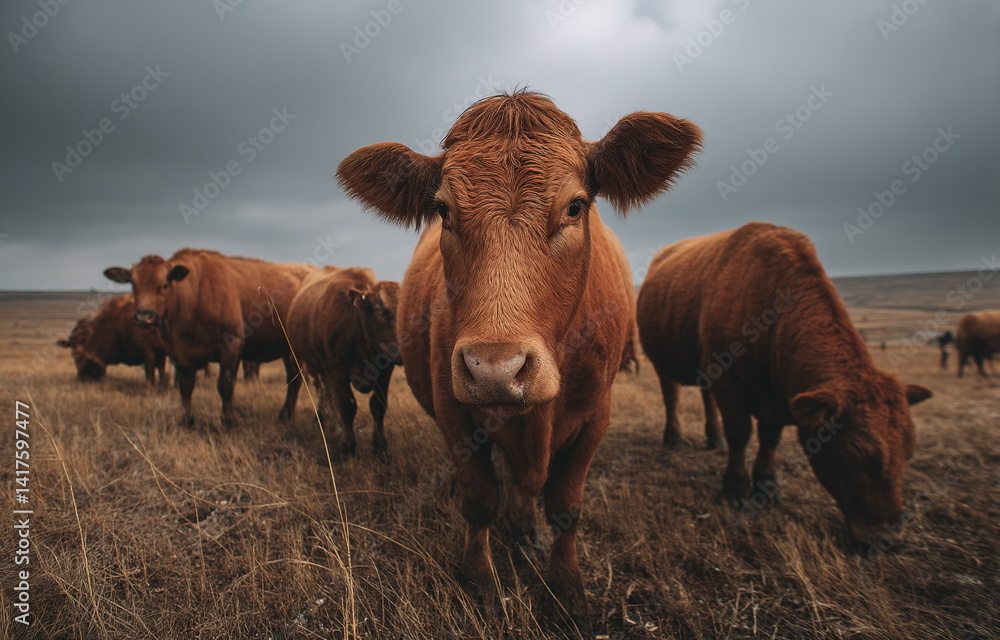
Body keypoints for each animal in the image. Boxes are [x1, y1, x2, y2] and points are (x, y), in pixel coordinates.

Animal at [103, 250, 314, 427]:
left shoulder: (231, 346)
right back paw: (286, 414)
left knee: (295, 379)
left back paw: (285, 415)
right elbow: (185, 387)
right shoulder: (179, 354)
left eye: (164, 284)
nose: (143, 317)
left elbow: (225, 385)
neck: (193, 298)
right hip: (289, 351)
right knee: (294, 379)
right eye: (133, 284)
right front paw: (187, 420)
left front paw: (227, 421)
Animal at [285, 266, 401, 458]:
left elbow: (378, 407)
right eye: (383, 311)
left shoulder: (386, 370)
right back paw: (327, 422)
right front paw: (347, 445)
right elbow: (347, 406)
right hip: (314, 366)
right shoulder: (337, 370)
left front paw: (381, 447)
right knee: (325, 394)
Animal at [336, 90, 702, 627]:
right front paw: (481, 584)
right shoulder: (453, 409)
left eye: (575, 206)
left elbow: (566, 505)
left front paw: (567, 590)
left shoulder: (596, 414)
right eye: (443, 210)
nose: (496, 370)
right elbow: (479, 499)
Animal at [636, 222, 932, 545]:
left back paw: (714, 439)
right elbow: (740, 433)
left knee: (706, 399)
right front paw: (736, 486)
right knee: (672, 397)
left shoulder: (774, 398)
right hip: (663, 362)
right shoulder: (726, 377)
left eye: (909, 452)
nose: (888, 538)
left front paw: (766, 485)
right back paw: (673, 436)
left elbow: (770, 439)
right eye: (858, 453)